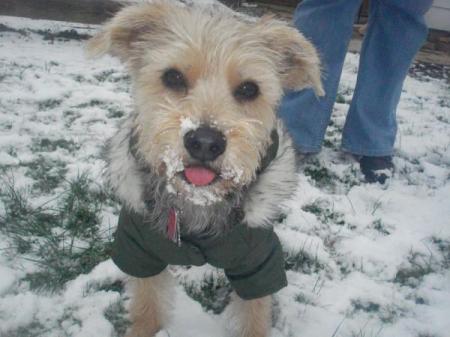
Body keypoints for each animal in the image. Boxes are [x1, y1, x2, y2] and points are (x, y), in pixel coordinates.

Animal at [86, 0, 322, 336]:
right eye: (172, 77)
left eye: (249, 89)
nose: (205, 142)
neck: (197, 203)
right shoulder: (137, 246)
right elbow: (146, 307)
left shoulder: (260, 259)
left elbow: (255, 315)